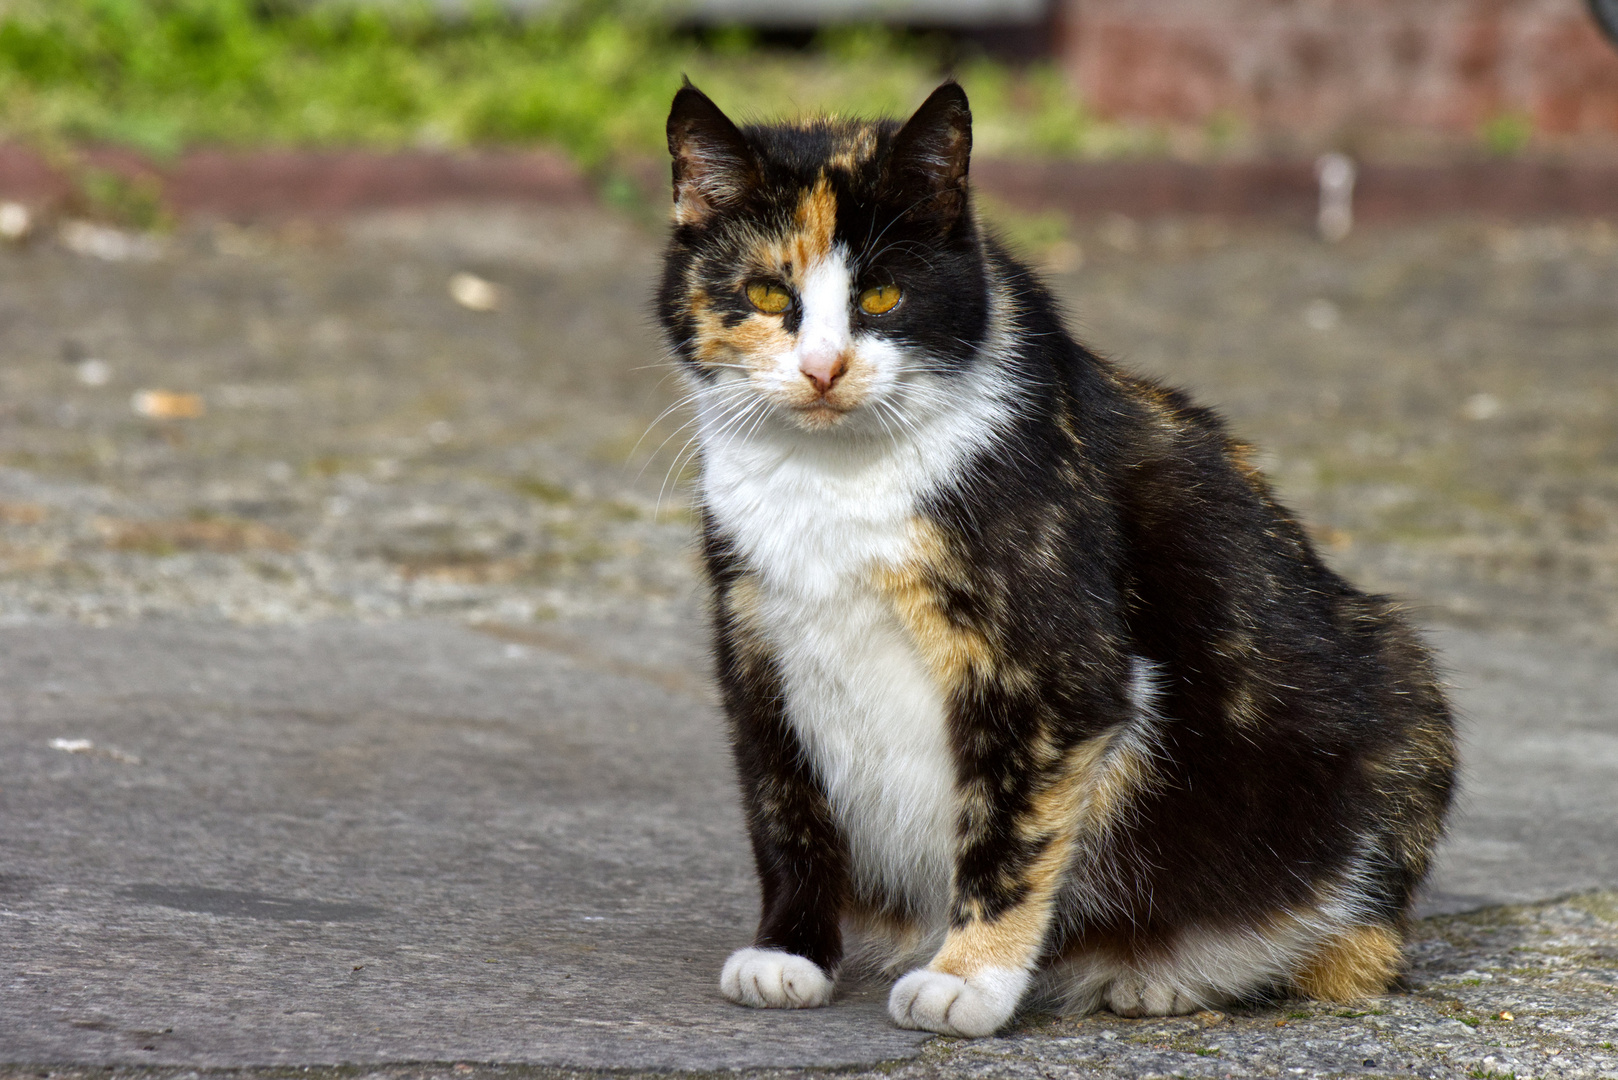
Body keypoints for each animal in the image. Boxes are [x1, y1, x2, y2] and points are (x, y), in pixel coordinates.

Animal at [650, 78, 1462, 1036]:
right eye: (769, 293)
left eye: (882, 296)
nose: (823, 369)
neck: (833, 479)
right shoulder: (754, 643)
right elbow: (782, 804)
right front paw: (789, 953)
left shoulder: (1054, 672)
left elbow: (1011, 828)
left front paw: (969, 979)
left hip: (1402, 696)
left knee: (1352, 943)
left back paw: (1163, 979)